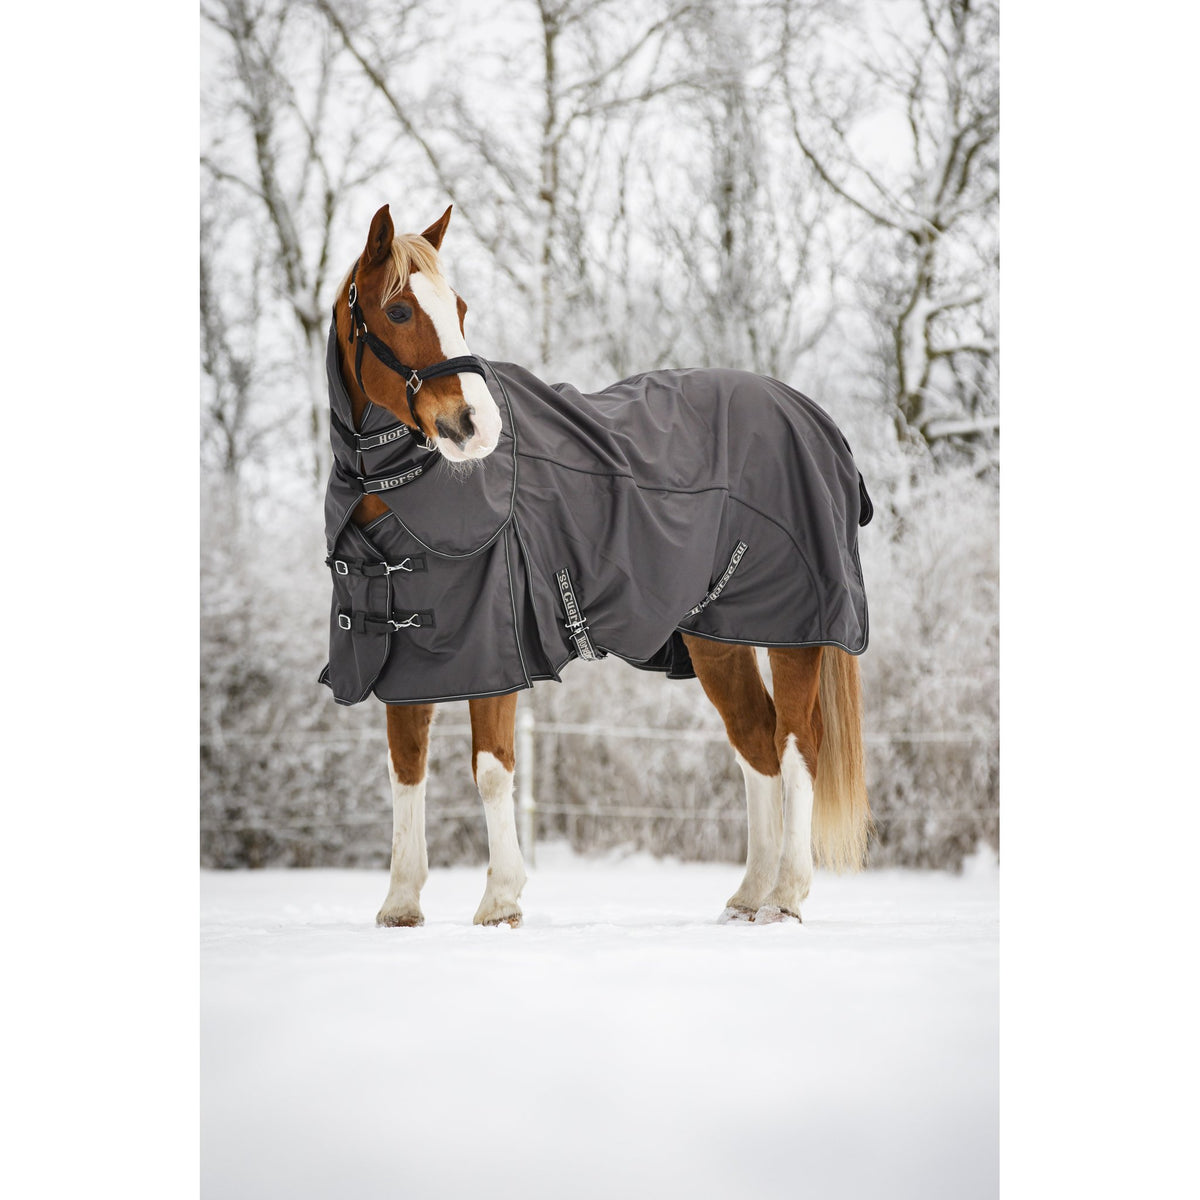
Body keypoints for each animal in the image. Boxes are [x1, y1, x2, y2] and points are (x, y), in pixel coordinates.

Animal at [324, 204, 871, 927]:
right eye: (399, 311)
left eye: (459, 307)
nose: (474, 426)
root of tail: (814, 418)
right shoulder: (410, 657)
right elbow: (406, 768)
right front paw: (400, 903)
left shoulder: (494, 652)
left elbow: (491, 768)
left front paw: (500, 901)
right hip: (717, 639)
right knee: (755, 741)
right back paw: (749, 895)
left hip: (796, 631)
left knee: (797, 744)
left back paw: (784, 895)